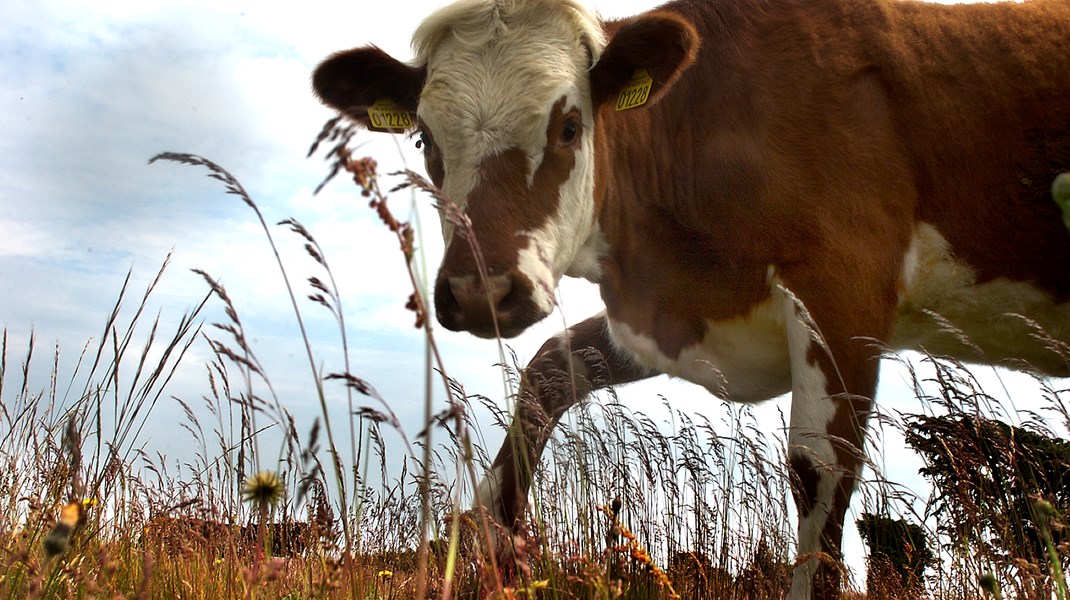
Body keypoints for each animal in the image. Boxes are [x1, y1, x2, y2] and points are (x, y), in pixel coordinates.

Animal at [312, 0, 1070, 594]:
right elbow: (549, 370)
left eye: (568, 127)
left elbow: (817, 470)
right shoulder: (672, 311)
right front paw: (491, 540)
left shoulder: (845, 288)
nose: (481, 292)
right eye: (423, 138)